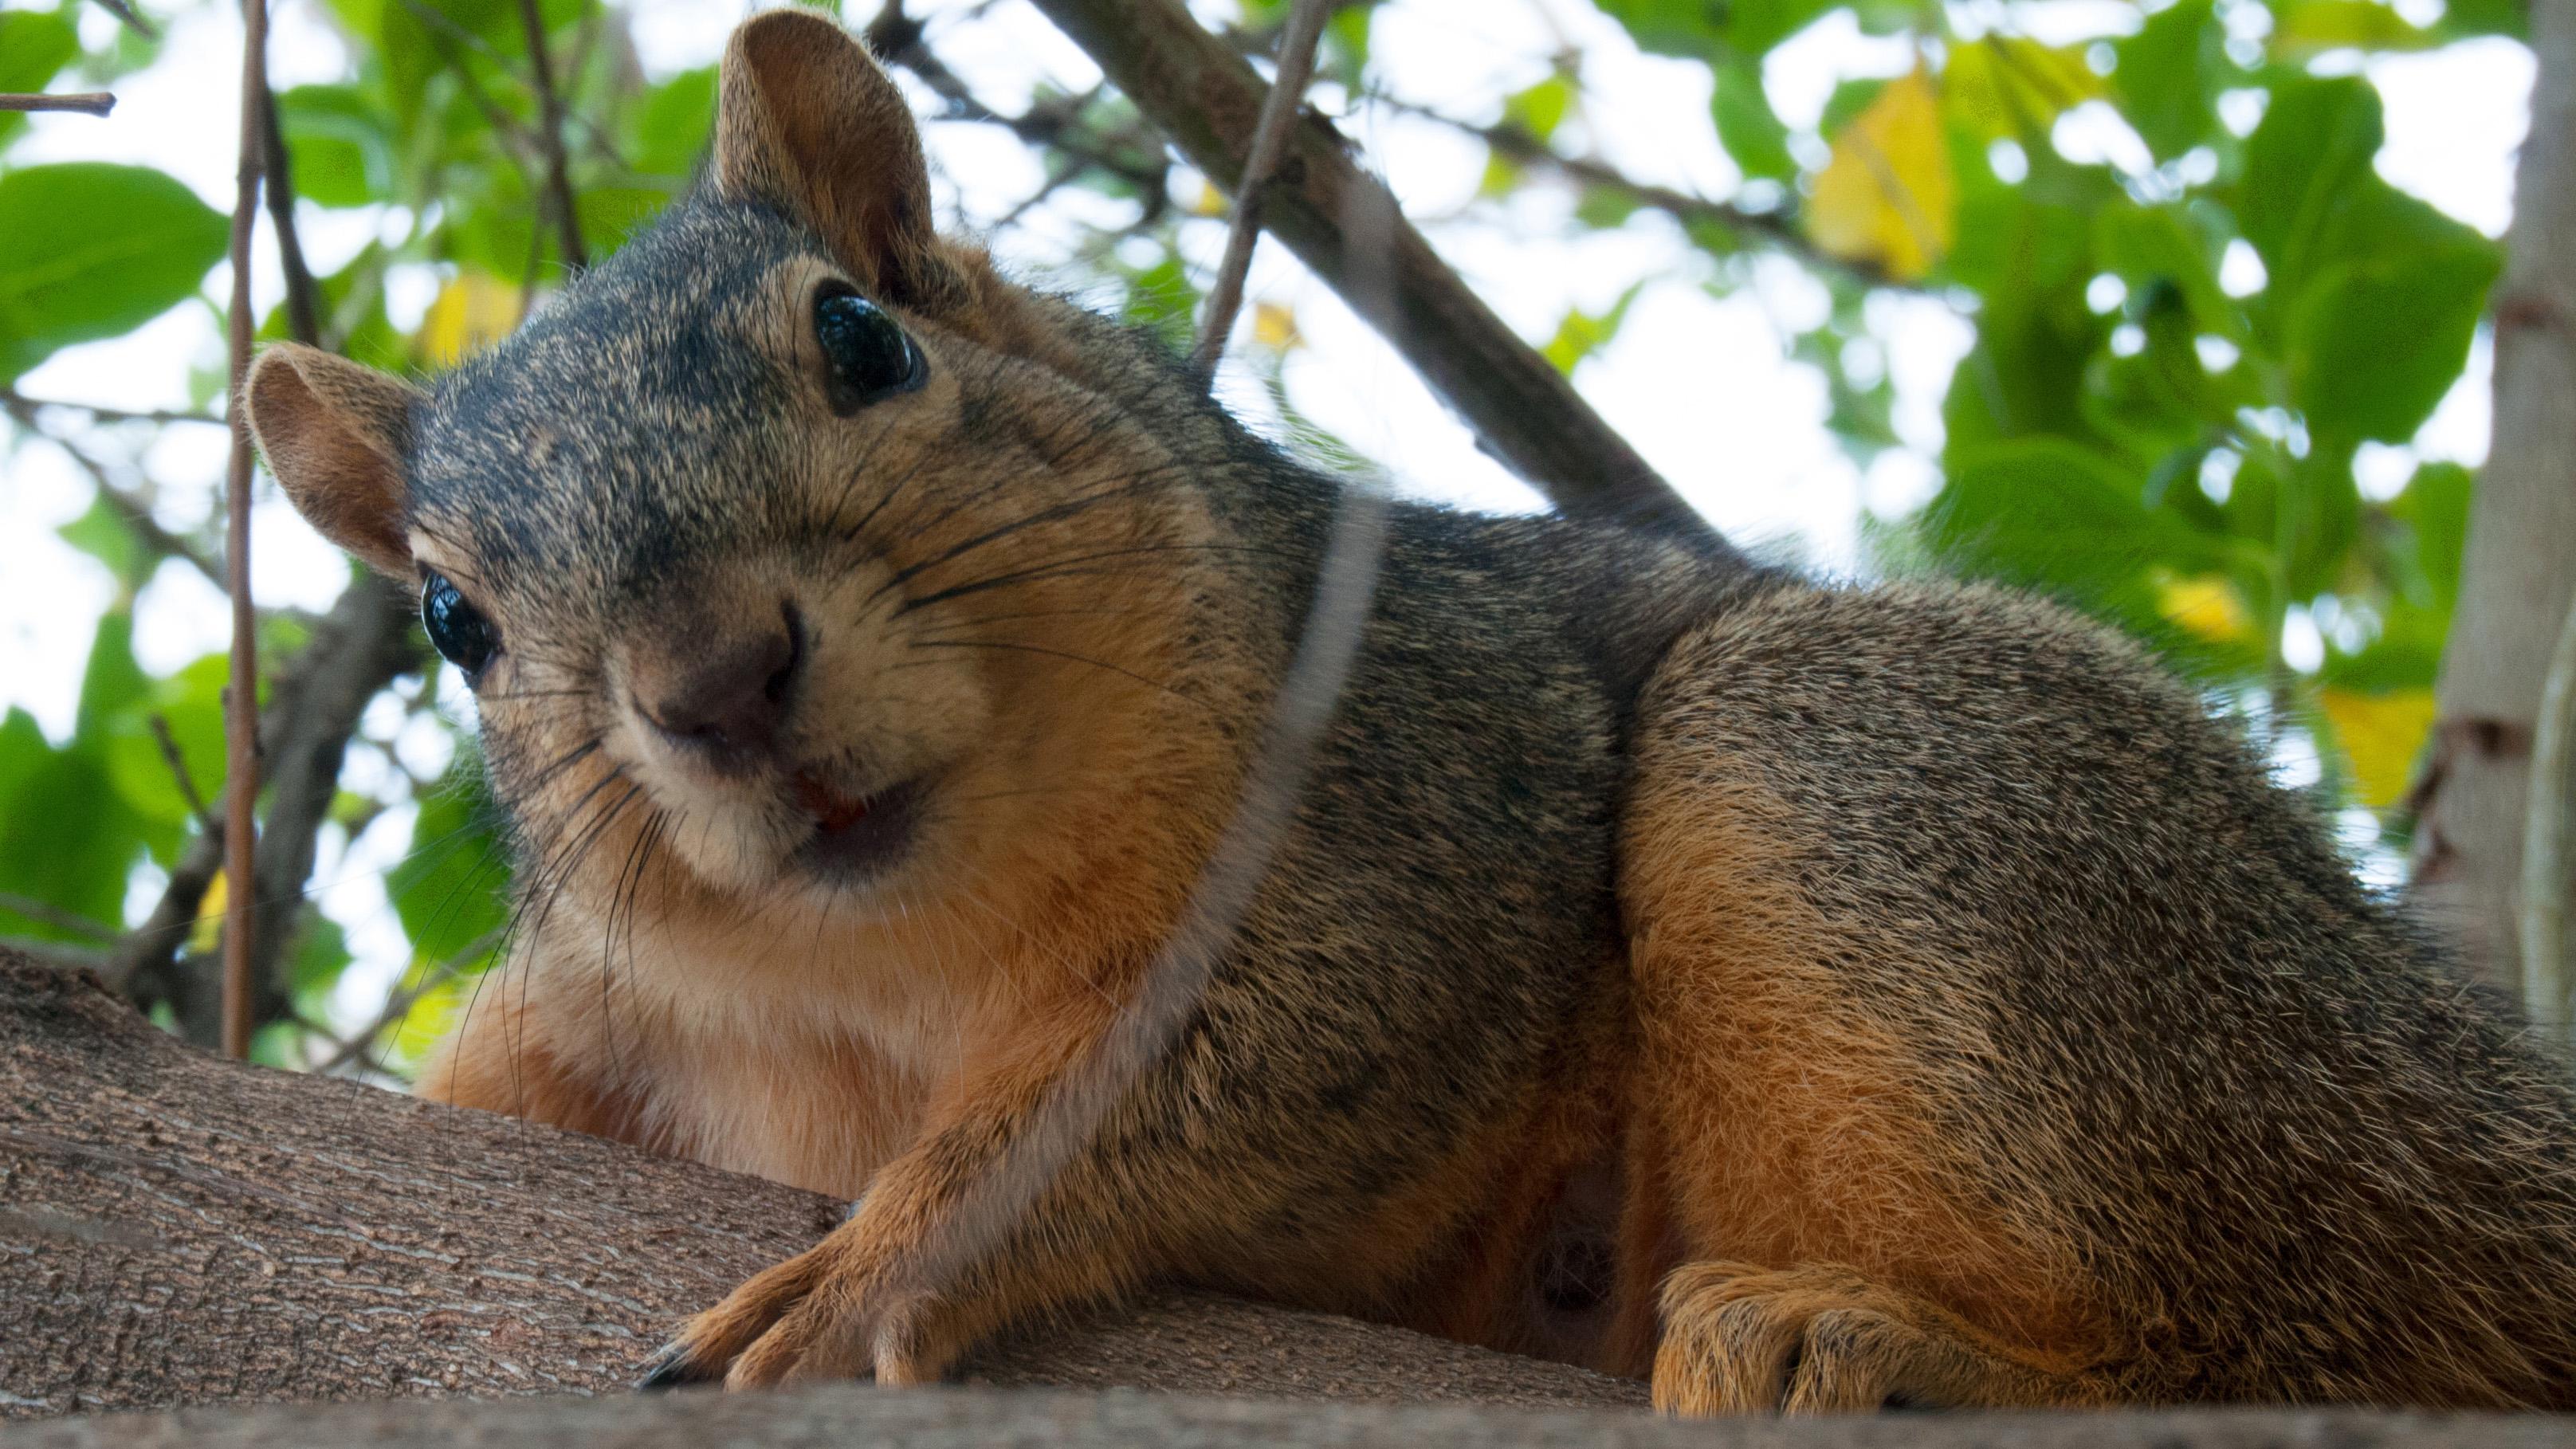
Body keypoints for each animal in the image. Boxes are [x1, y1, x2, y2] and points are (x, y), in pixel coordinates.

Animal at [245, 8, 2576, 1412]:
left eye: (862, 338)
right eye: (450, 617)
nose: (718, 679)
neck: (893, 975)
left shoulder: (1427, 780)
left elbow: (1210, 1060)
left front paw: (876, 1261)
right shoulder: (559, 1053)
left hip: (1880, 789)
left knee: (2273, 1340)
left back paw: (1887, 1343)